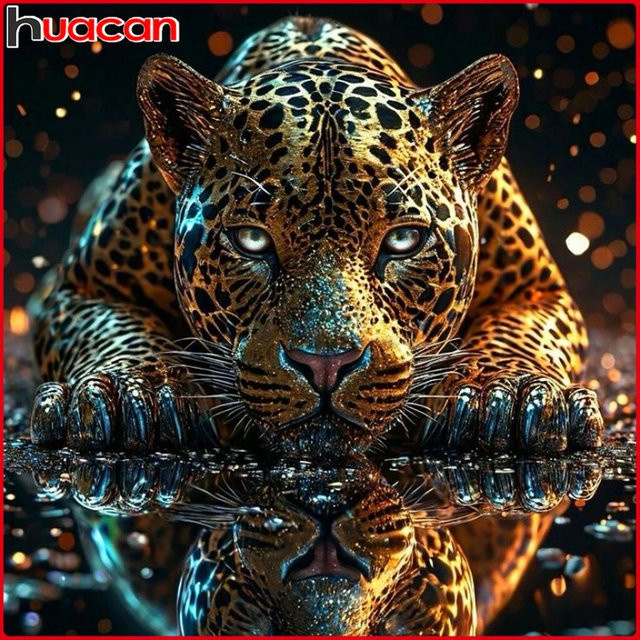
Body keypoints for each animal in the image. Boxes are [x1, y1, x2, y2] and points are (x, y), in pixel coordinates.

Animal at [29, 16, 604, 458]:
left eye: (404, 241)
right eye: (251, 241)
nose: (324, 365)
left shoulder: (536, 290)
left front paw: (505, 394)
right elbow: (117, 332)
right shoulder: (85, 288)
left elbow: (515, 336)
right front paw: (133, 393)